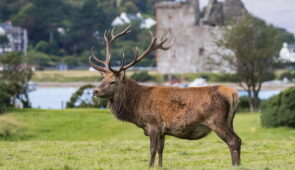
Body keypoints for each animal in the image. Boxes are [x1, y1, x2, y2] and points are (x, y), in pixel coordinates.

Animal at [91, 25, 243, 168]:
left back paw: (234, 165)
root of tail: (233, 93)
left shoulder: (153, 124)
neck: (137, 107)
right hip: (229, 121)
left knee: (233, 141)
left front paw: (149, 166)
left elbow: (152, 149)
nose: (95, 91)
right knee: (238, 139)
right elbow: (160, 149)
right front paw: (159, 166)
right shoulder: (163, 131)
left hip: (217, 120)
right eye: (103, 79)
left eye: (112, 81)